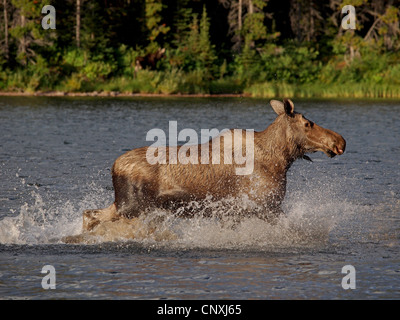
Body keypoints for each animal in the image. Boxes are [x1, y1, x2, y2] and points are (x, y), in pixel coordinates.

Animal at [79, 99, 346, 234]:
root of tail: (114, 167)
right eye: (308, 123)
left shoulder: (234, 212)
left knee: (88, 214)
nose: (340, 141)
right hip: (132, 207)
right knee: (94, 216)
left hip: (130, 206)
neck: (281, 160)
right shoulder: (263, 205)